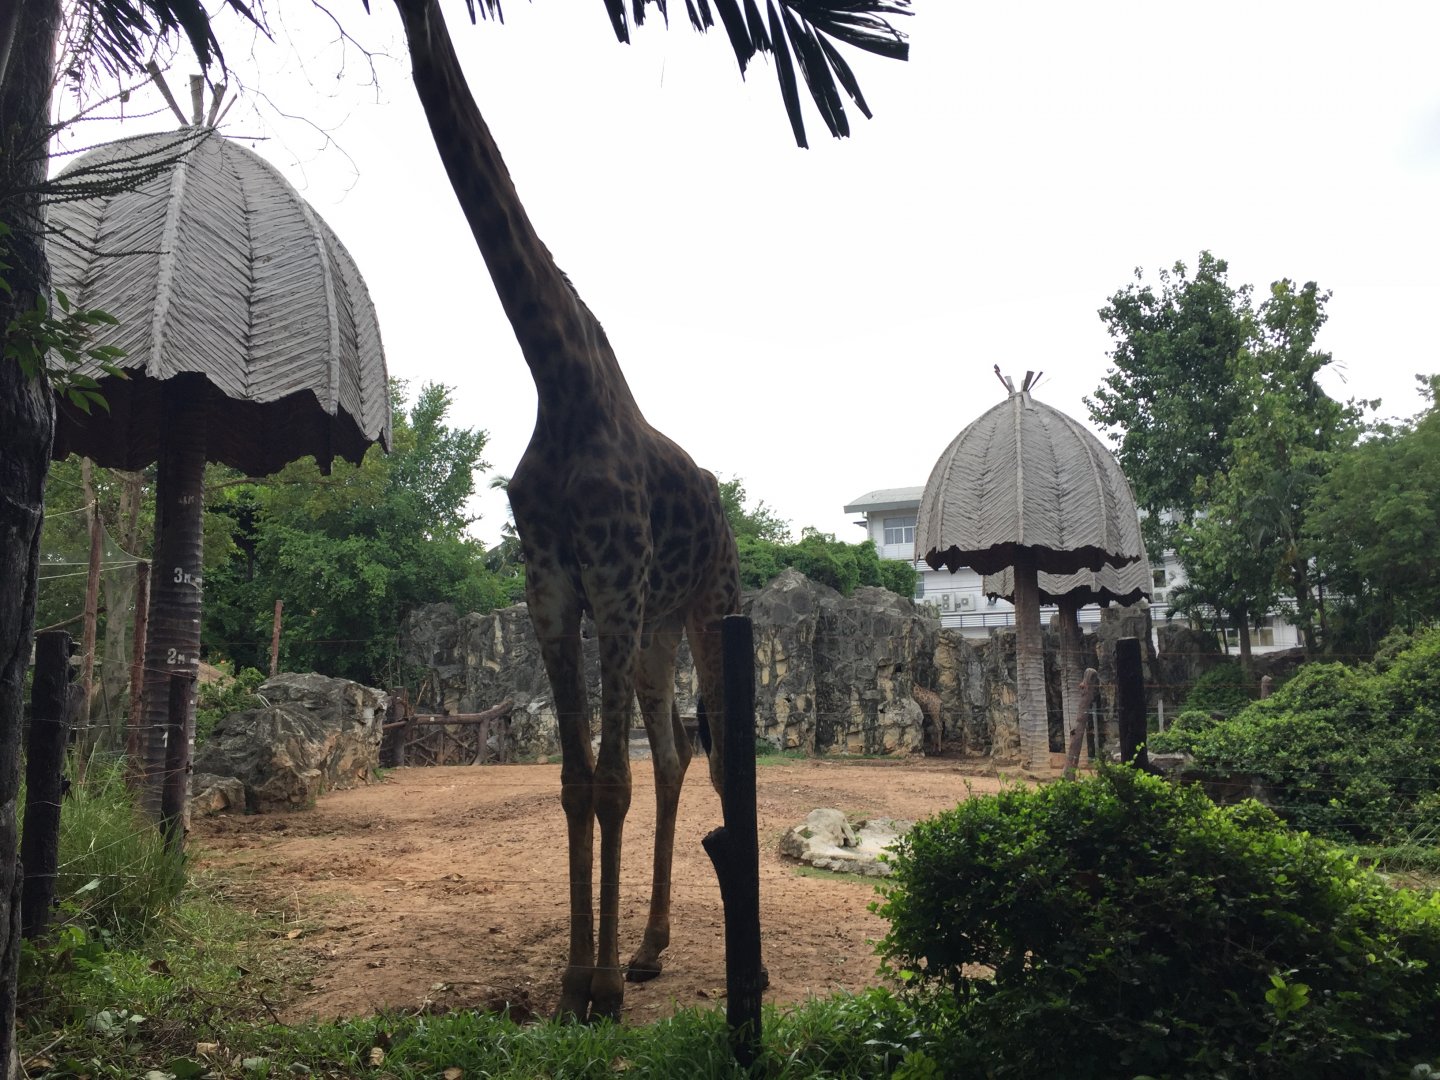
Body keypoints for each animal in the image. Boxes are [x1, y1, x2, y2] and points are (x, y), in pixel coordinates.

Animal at [393, 0, 743, 1022]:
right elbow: (574, 780)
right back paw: (653, 948)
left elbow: (610, 781)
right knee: (673, 753)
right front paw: (575, 979)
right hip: (657, 629)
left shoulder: (613, 586)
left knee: (706, 755)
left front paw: (602, 990)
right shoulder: (553, 589)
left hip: (704, 605)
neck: (557, 379)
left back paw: (681, 951)